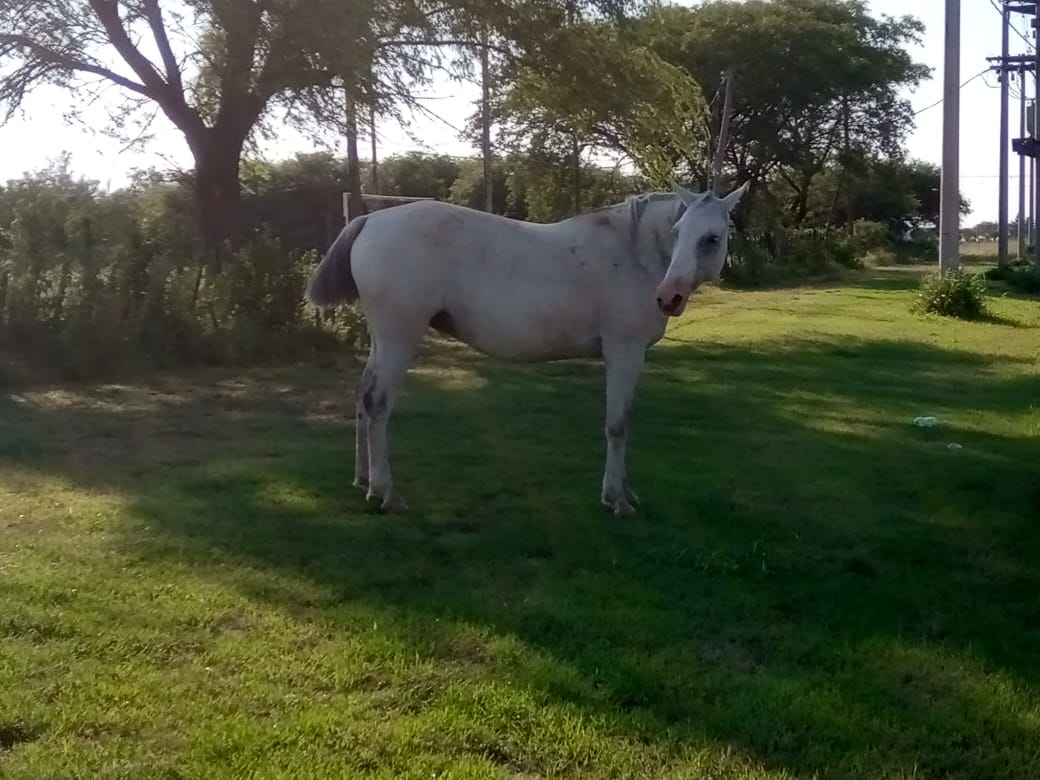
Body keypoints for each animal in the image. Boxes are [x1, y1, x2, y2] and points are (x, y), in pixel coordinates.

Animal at [305, 181, 749, 515]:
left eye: (711, 238)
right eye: (678, 233)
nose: (668, 296)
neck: (631, 252)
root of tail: (371, 219)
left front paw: (625, 492)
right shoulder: (625, 353)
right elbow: (618, 425)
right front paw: (616, 499)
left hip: (382, 340)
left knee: (362, 397)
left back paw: (363, 480)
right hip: (399, 338)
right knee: (378, 403)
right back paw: (387, 492)